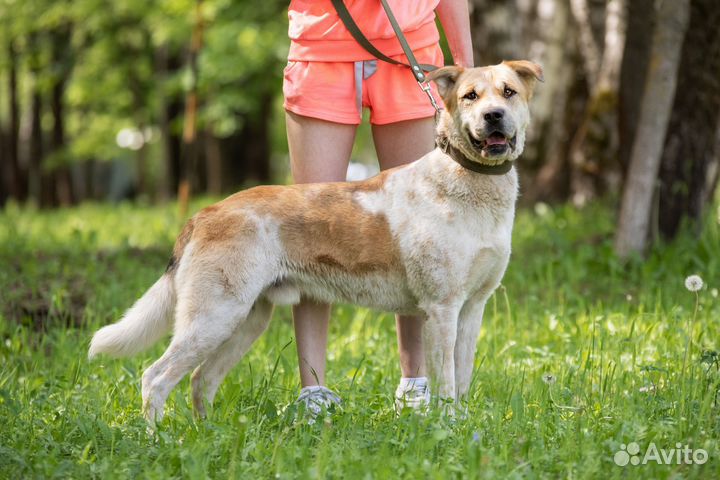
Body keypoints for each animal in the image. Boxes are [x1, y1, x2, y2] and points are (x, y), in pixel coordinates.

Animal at [88, 59, 540, 420]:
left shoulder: (473, 308)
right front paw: (447, 429)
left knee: (201, 380)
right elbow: (446, 384)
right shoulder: (441, 309)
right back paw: (159, 440)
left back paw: (207, 436)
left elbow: (461, 379)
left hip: (245, 321)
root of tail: (205, 214)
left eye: (508, 92)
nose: (494, 116)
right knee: (156, 378)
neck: (471, 187)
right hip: (214, 317)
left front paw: (464, 427)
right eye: (469, 96)